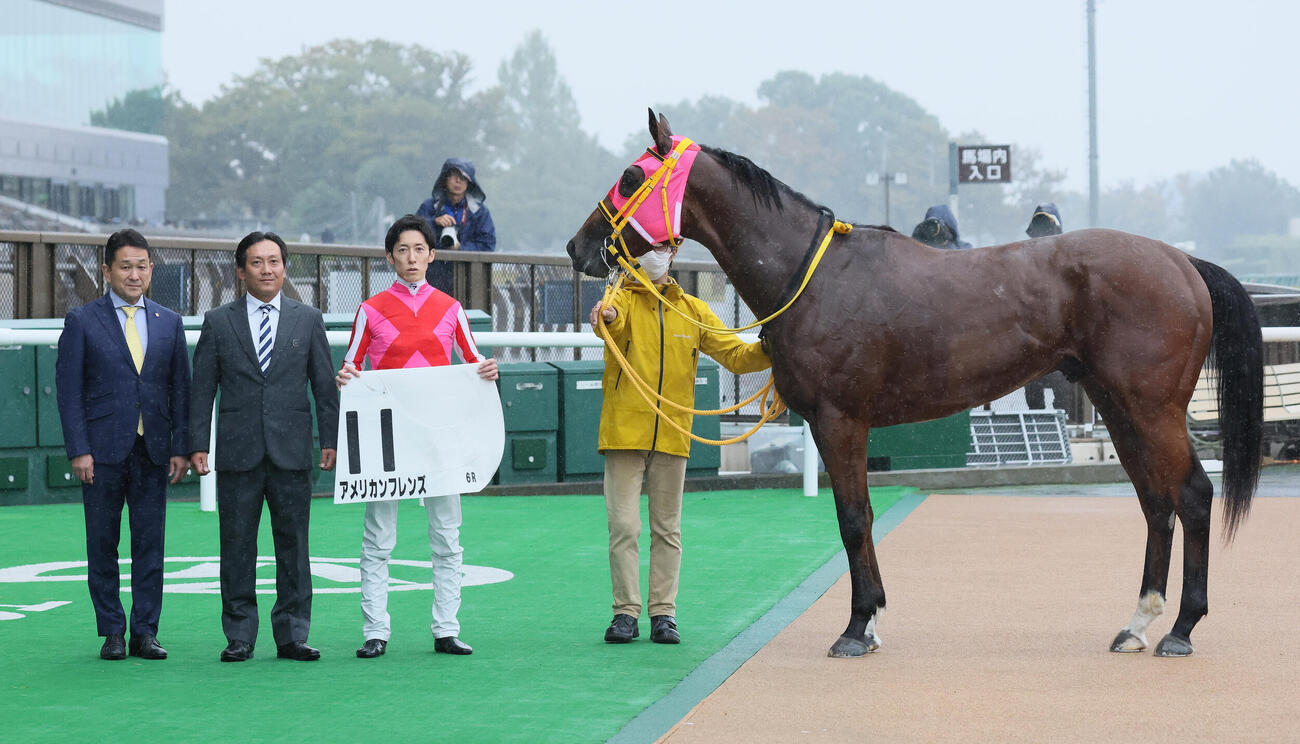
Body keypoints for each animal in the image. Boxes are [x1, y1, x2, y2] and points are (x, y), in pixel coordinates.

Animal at [567, 110, 1263, 659]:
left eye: (630, 177)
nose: (579, 246)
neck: (814, 276)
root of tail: (1181, 261)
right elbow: (858, 517)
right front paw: (870, 621)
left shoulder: (840, 420)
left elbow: (854, 518)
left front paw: (856, 628)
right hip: (1119, 409)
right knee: (1155, 503)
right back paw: (1136, 624)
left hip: (1152, 409)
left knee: (1193, 495)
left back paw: (1181, 629)